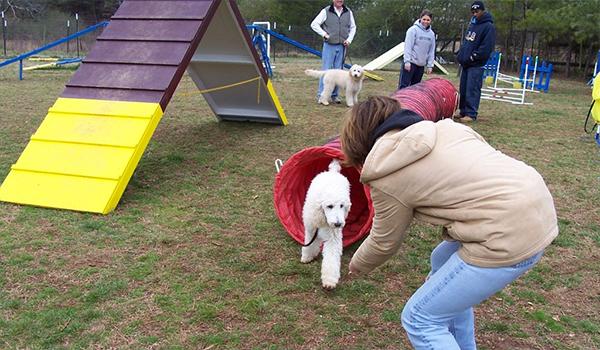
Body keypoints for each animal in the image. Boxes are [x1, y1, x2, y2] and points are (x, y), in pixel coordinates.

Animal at [302, 159, 350, 290]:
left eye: (342, 206)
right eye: (330, 206)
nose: (338, 224)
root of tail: (332, 172)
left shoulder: (333, 237)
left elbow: (331, 258)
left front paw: (329, 281)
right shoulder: (311, 228)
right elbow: (309, 243)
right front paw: (307, 256)